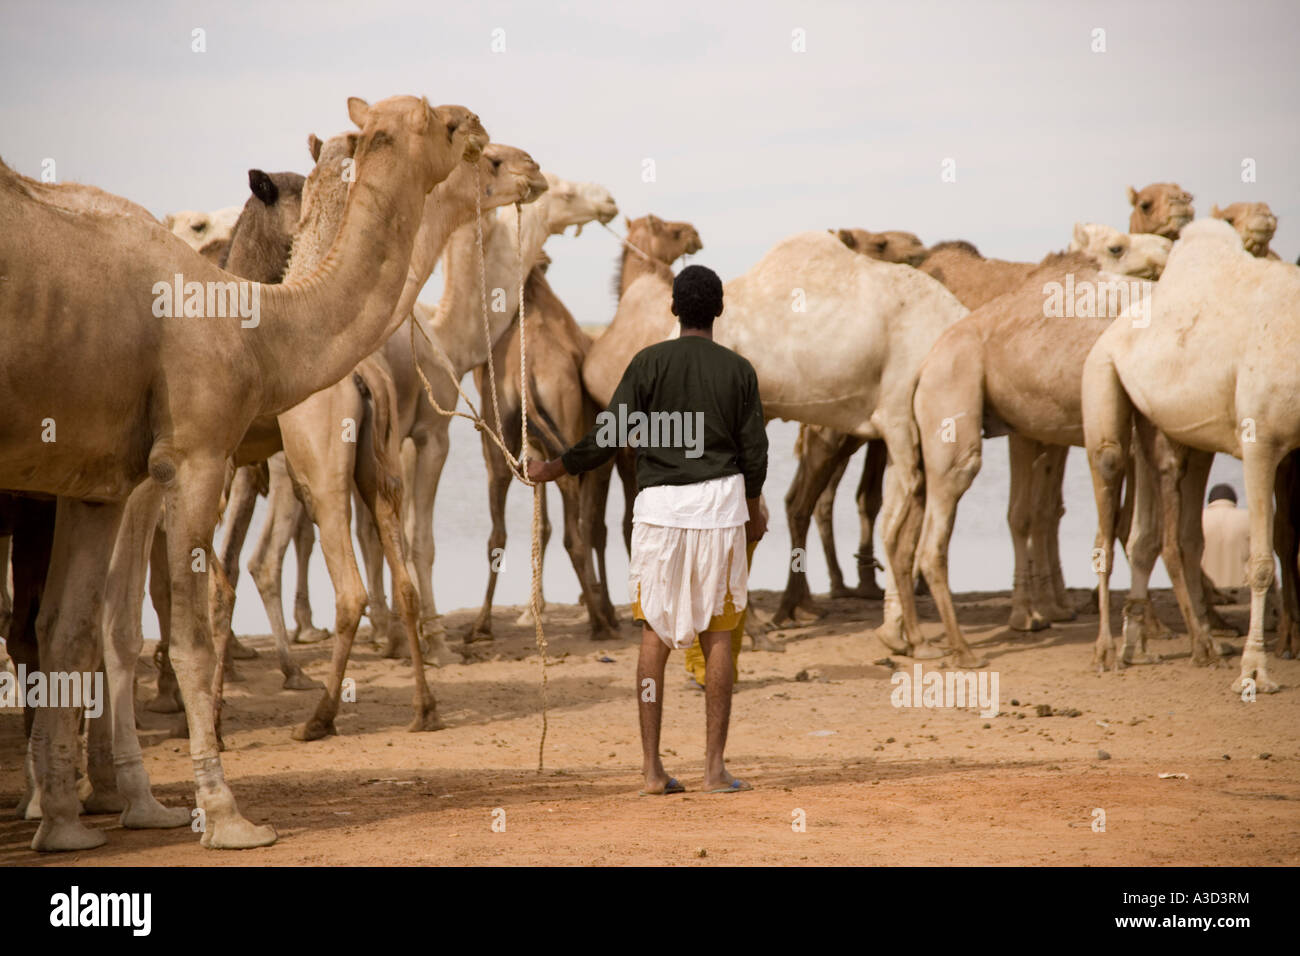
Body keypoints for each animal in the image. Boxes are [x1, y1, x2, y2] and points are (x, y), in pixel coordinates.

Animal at [1081, 218, 1294, 697]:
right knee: (1108, 487)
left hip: (1157, 423)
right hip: (1100, 379)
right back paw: (1106, 651)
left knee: (1147, 529)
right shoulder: (1260, 440)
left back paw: (1144, 646)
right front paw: (1254, 671)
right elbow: (1260, 562)